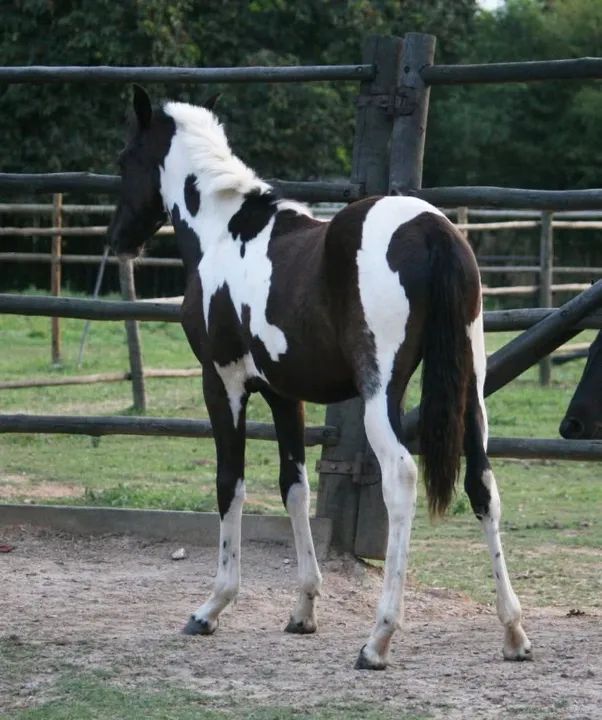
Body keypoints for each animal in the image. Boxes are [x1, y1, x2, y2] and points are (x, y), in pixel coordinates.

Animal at [108, 85, 532, 670]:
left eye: (125, 158)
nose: (117, 239)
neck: (225, 234)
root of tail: (431, 229)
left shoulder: (223, 384)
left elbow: (230, 484)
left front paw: (212, 607)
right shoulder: (285, 395)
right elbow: (295, 487)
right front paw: (303, 610)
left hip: (381, 395)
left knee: (401, 477)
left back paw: (378, 640)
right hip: (471, 390)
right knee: (483, 484)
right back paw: (513, 632)